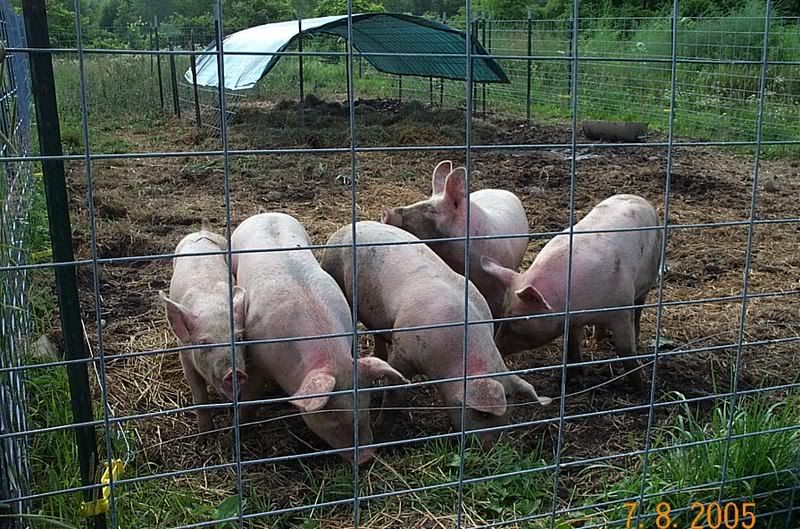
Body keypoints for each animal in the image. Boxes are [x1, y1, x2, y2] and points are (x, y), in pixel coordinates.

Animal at [159, 219, 247, 433]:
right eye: (203, 343)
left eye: (239, 338)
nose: (235, 372)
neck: (210, 304)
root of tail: (202, 229)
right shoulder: (185, 355)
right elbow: (199, 395)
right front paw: (206, 434)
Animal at [231, 212, 406, 464]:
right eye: (330, 416)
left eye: (365, 405)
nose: (366, 457)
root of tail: (266, 213)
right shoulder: (257, 357)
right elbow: (249, 398)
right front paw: (237, 428)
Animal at [321, 221, 550, 449]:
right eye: (483, 415)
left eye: (509, 414)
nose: (491, 449)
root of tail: (347, 227)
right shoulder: (403, 351)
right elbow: (395, 394)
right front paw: (381, 437)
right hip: (335, 274)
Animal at [480, 194, 662, 390]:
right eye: (503, 313)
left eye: (518, 319)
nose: (497, 347)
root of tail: (640, 198)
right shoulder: (574, 320)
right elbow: (572, 345)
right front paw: (572, 378)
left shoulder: (621, 310)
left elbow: (626, 350)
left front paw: (640, 387)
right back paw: (595, 341)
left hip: (648, 278)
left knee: (638, 311)